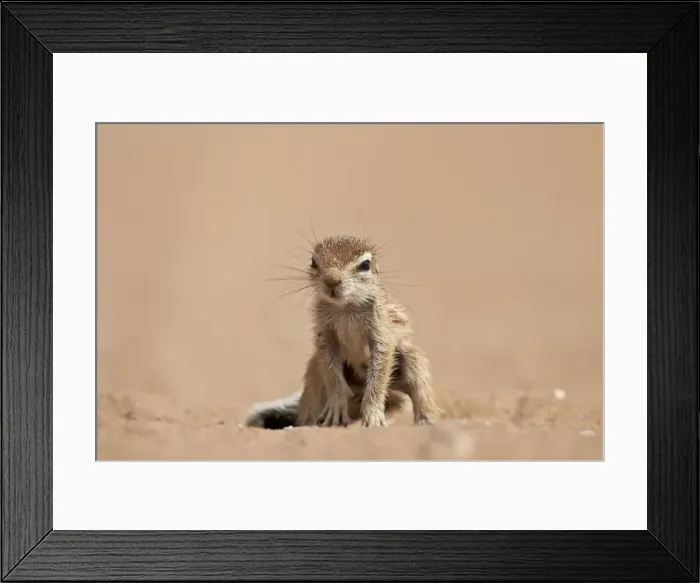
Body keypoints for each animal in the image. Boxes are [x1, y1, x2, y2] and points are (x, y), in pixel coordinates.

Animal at [245, 235, 442, 429]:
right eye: (313, 261)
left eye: (365, 265)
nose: (331, 280)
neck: (345, 308)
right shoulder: (325, 333)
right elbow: (332, 376)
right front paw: (336, 407)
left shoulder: (380, 331)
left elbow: (379, 374)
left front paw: (373, 416)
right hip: (314, 368)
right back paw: (308, 424)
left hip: (412, 359)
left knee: (419, 388)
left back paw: (426, 420)